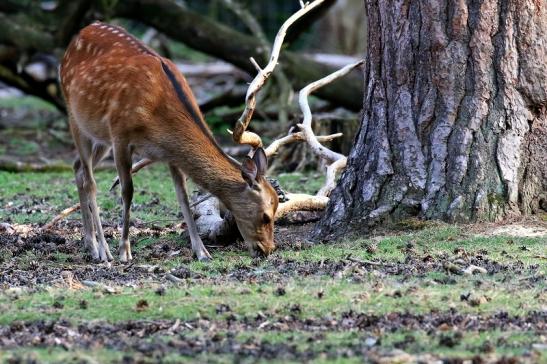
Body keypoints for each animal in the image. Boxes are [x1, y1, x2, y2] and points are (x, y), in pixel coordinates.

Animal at [60, 22, 278, 262]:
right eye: (265, 216)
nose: (267, 249)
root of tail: (79, 34)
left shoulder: (170, 154)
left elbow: (182, 196)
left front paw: (202, 251)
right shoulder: (120, 136)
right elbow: (127, 192)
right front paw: (125, 251)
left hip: (99, 136)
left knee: (78, 168)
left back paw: (89, 244)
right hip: (75, 116)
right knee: (90, 181)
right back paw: (102, 251)